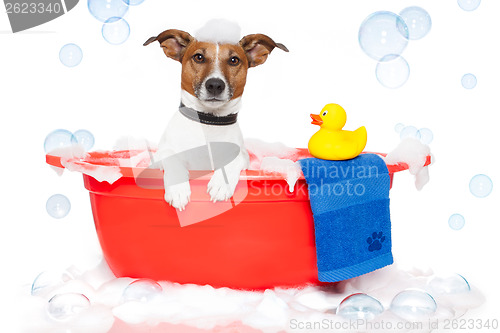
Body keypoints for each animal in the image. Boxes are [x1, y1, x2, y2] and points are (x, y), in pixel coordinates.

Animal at [143, 26, 288, 209]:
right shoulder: (162, 154)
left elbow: (233, 160)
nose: (215, 85)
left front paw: (221, 183)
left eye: (234, 60)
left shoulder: (243, 155)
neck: (209, 121)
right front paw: (178, 189)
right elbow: (172, 158)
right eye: (199, 57)